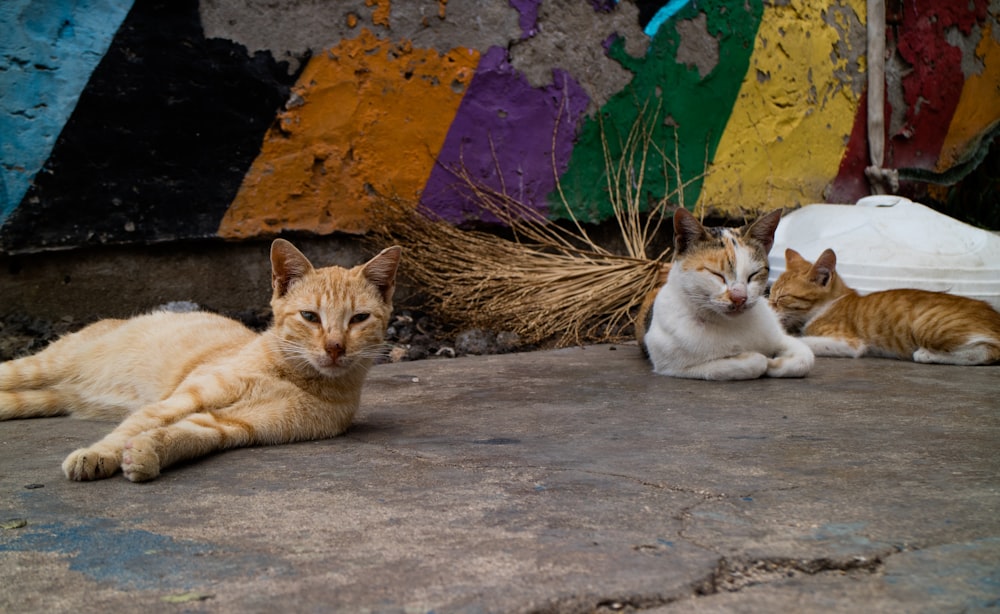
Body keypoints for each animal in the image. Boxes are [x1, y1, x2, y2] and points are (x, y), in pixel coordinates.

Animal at [4, 238, 402, 484]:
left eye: (358, 319)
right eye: (310, 317)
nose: (335, 347)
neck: (293, 377)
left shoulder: (234, 424)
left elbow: (186, 436)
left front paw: (147, 454)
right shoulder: (183, 399)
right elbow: (131, 427)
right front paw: (97, 454)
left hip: (46, 398)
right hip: (41, 366)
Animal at [640, 207, 812, 380]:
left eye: (753, 274)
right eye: (717, 274)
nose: (740, 298)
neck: (732, 323)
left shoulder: (781, 337)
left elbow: (806, 358)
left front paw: (776, 363)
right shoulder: (674, 366)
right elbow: (755, 362)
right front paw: (764, 360)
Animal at [768, 249, 996, 368]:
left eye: (782, 298)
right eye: (770, 294)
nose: (768, 307)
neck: (826, 306)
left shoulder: (849, 342)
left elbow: (805, 340)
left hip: (927, 324)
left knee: (989, 351)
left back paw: (928, 355)